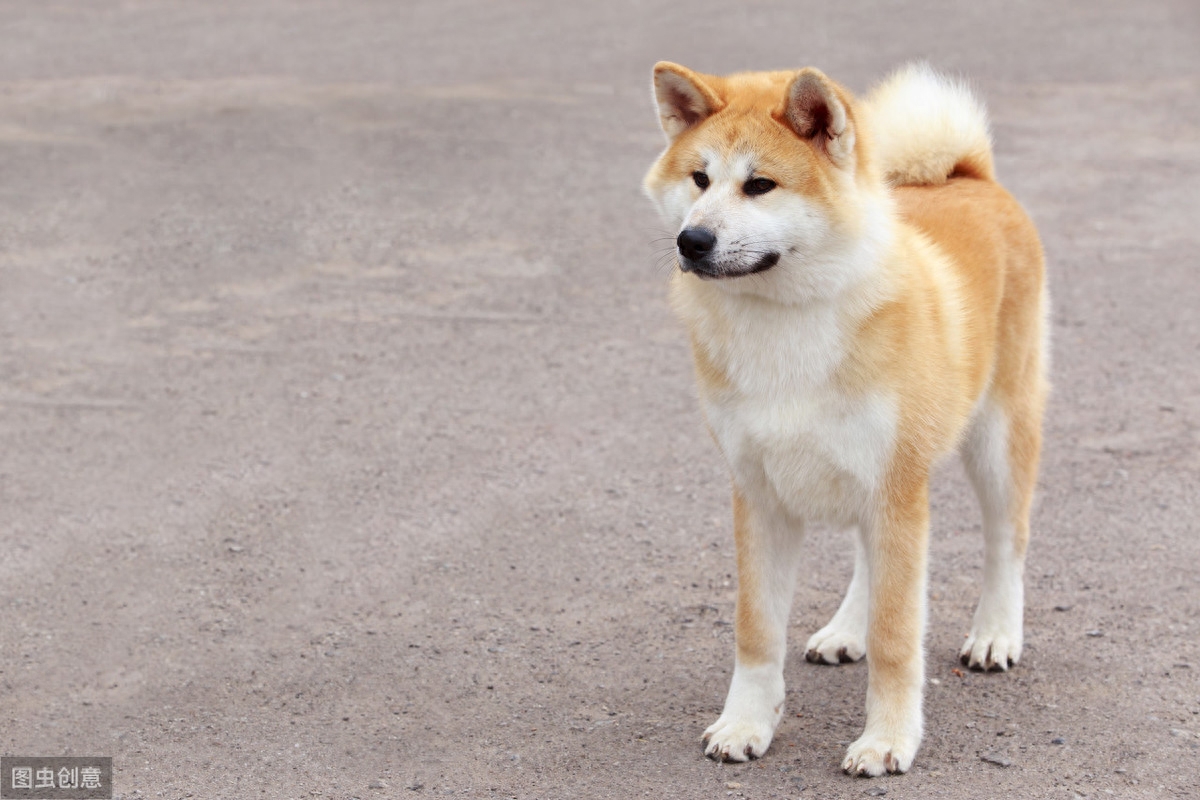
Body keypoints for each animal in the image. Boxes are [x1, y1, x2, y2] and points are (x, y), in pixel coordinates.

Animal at [643, 62, 1046, 777]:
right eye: (699, 179)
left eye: (760, 185)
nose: (692, 240)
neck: (784, 327)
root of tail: (968, 175)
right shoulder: (761, 495)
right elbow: (755, 632)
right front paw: (746, 724)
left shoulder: (895, 490)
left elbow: (896, 638)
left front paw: (887, 740)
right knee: (868, 559)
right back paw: (845, 630)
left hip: (995, 442)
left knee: (1007, 541)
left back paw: (995, 633)